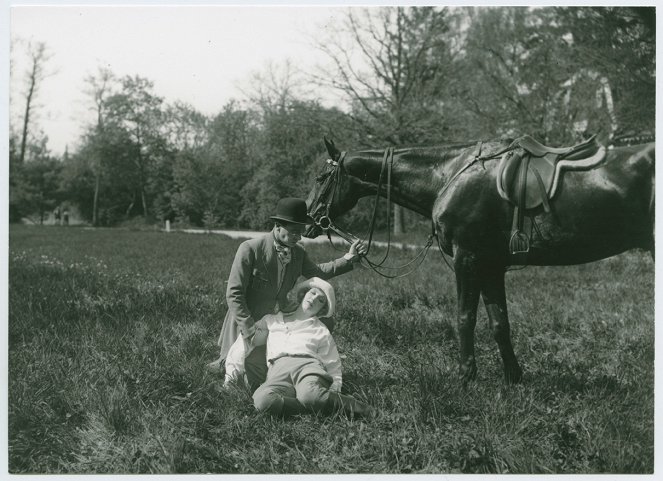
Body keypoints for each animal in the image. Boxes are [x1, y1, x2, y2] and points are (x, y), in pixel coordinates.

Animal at [304, 137, 656, 384]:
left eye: (321, 177)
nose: (308, 219)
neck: (450, 175)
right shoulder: (490, 265)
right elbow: (499, 322)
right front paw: (513, 378)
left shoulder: (468, 259)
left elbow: (465, 318)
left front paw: (465, 377)